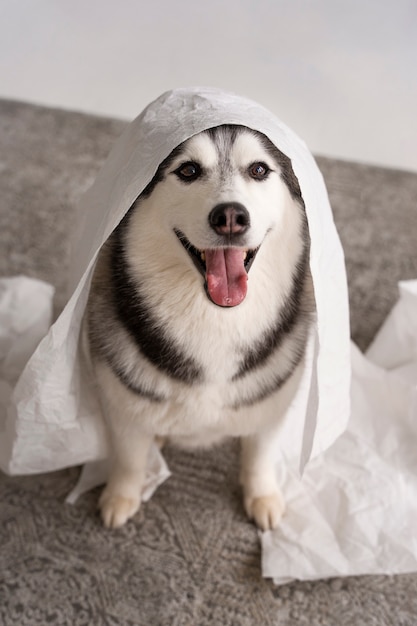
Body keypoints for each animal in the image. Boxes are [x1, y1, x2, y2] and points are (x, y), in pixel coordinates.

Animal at [86, 124, 314, 528]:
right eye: (188, 170)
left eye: (258, 169)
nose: (230, 216)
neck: (215, 320)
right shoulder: (121, 402)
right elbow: (129, 458)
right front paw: (121, 495)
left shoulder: (272, 402)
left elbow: (259, 455)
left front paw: (262, 495)